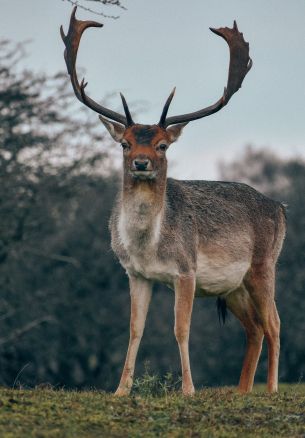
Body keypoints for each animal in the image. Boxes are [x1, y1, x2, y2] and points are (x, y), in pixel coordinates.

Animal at [61, 6, 284, 396]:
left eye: (162, 145)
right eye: (126, 143)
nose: (141, 162)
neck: (149, 245)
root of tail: (282, 208)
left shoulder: (186, 270)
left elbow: (181, 329)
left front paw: (188, 389)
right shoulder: (135, 273)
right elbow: (135, 329)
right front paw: (120, 390)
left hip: (263, 265)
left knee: (274, 323)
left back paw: (270, 389)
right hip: (234, 286)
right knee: (255, 327)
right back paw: (241, 391)